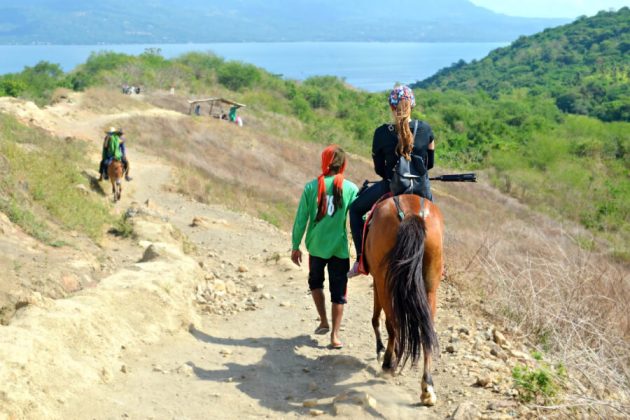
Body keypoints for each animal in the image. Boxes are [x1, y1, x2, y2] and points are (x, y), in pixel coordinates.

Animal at [362, 194, 446, 406]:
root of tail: (411, 213)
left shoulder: (377, 280)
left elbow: (376, 317)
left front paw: (380, 349)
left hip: (385, 281)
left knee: (393, 324)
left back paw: (388, 363)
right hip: (430, 286)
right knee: (426, 330)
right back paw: (427, 388)